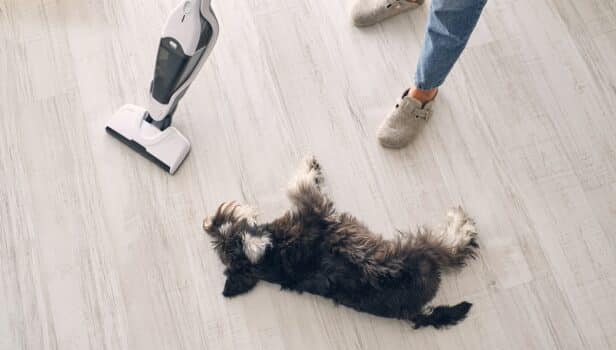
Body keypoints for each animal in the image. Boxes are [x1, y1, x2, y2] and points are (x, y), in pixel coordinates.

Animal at [205, 156, 478, 328]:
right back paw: (461, 225)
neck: (267, 254)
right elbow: (298, 185)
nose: (208, 221)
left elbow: (298, 185)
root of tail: (413, 312)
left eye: (220, 229)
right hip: (416, 251)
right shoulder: (314, 208)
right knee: (450, 251)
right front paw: (309, 165)